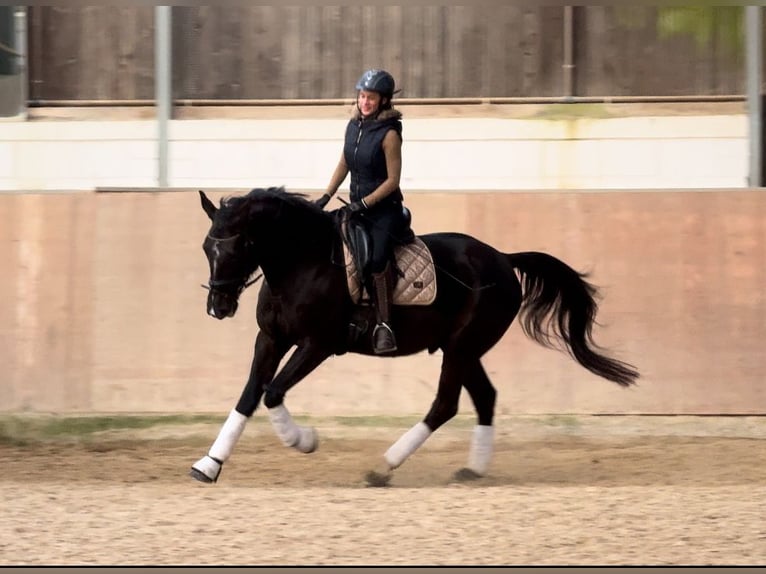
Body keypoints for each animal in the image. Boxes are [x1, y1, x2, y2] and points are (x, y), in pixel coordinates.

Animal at [189, 188, 640, 486]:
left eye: (240, 245)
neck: (303, 261)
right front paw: (209, 464)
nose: (217, 307)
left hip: (461, 347)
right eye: (207, 248)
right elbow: (249, 395)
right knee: (484, 397)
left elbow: (273, 392)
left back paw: (384, 467)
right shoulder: (270, 339)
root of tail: (503, 259)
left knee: (445, 404)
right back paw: (472, 469)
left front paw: (303, 440)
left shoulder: (317, 345)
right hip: (465, 349)